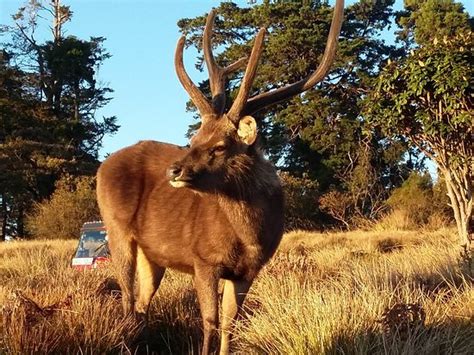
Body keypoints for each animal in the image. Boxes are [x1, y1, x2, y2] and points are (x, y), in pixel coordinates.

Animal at [98, 0, 344, 354]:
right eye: (194, 139)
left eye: (219, 146)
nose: (174, 170)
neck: (250, 236)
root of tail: (102, 167)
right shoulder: (204, 259)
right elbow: (209, 321)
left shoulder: (247, 270)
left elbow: (231, 323)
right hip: (116, 229)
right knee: (127, 298)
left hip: (152, 253)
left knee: (142, 303)